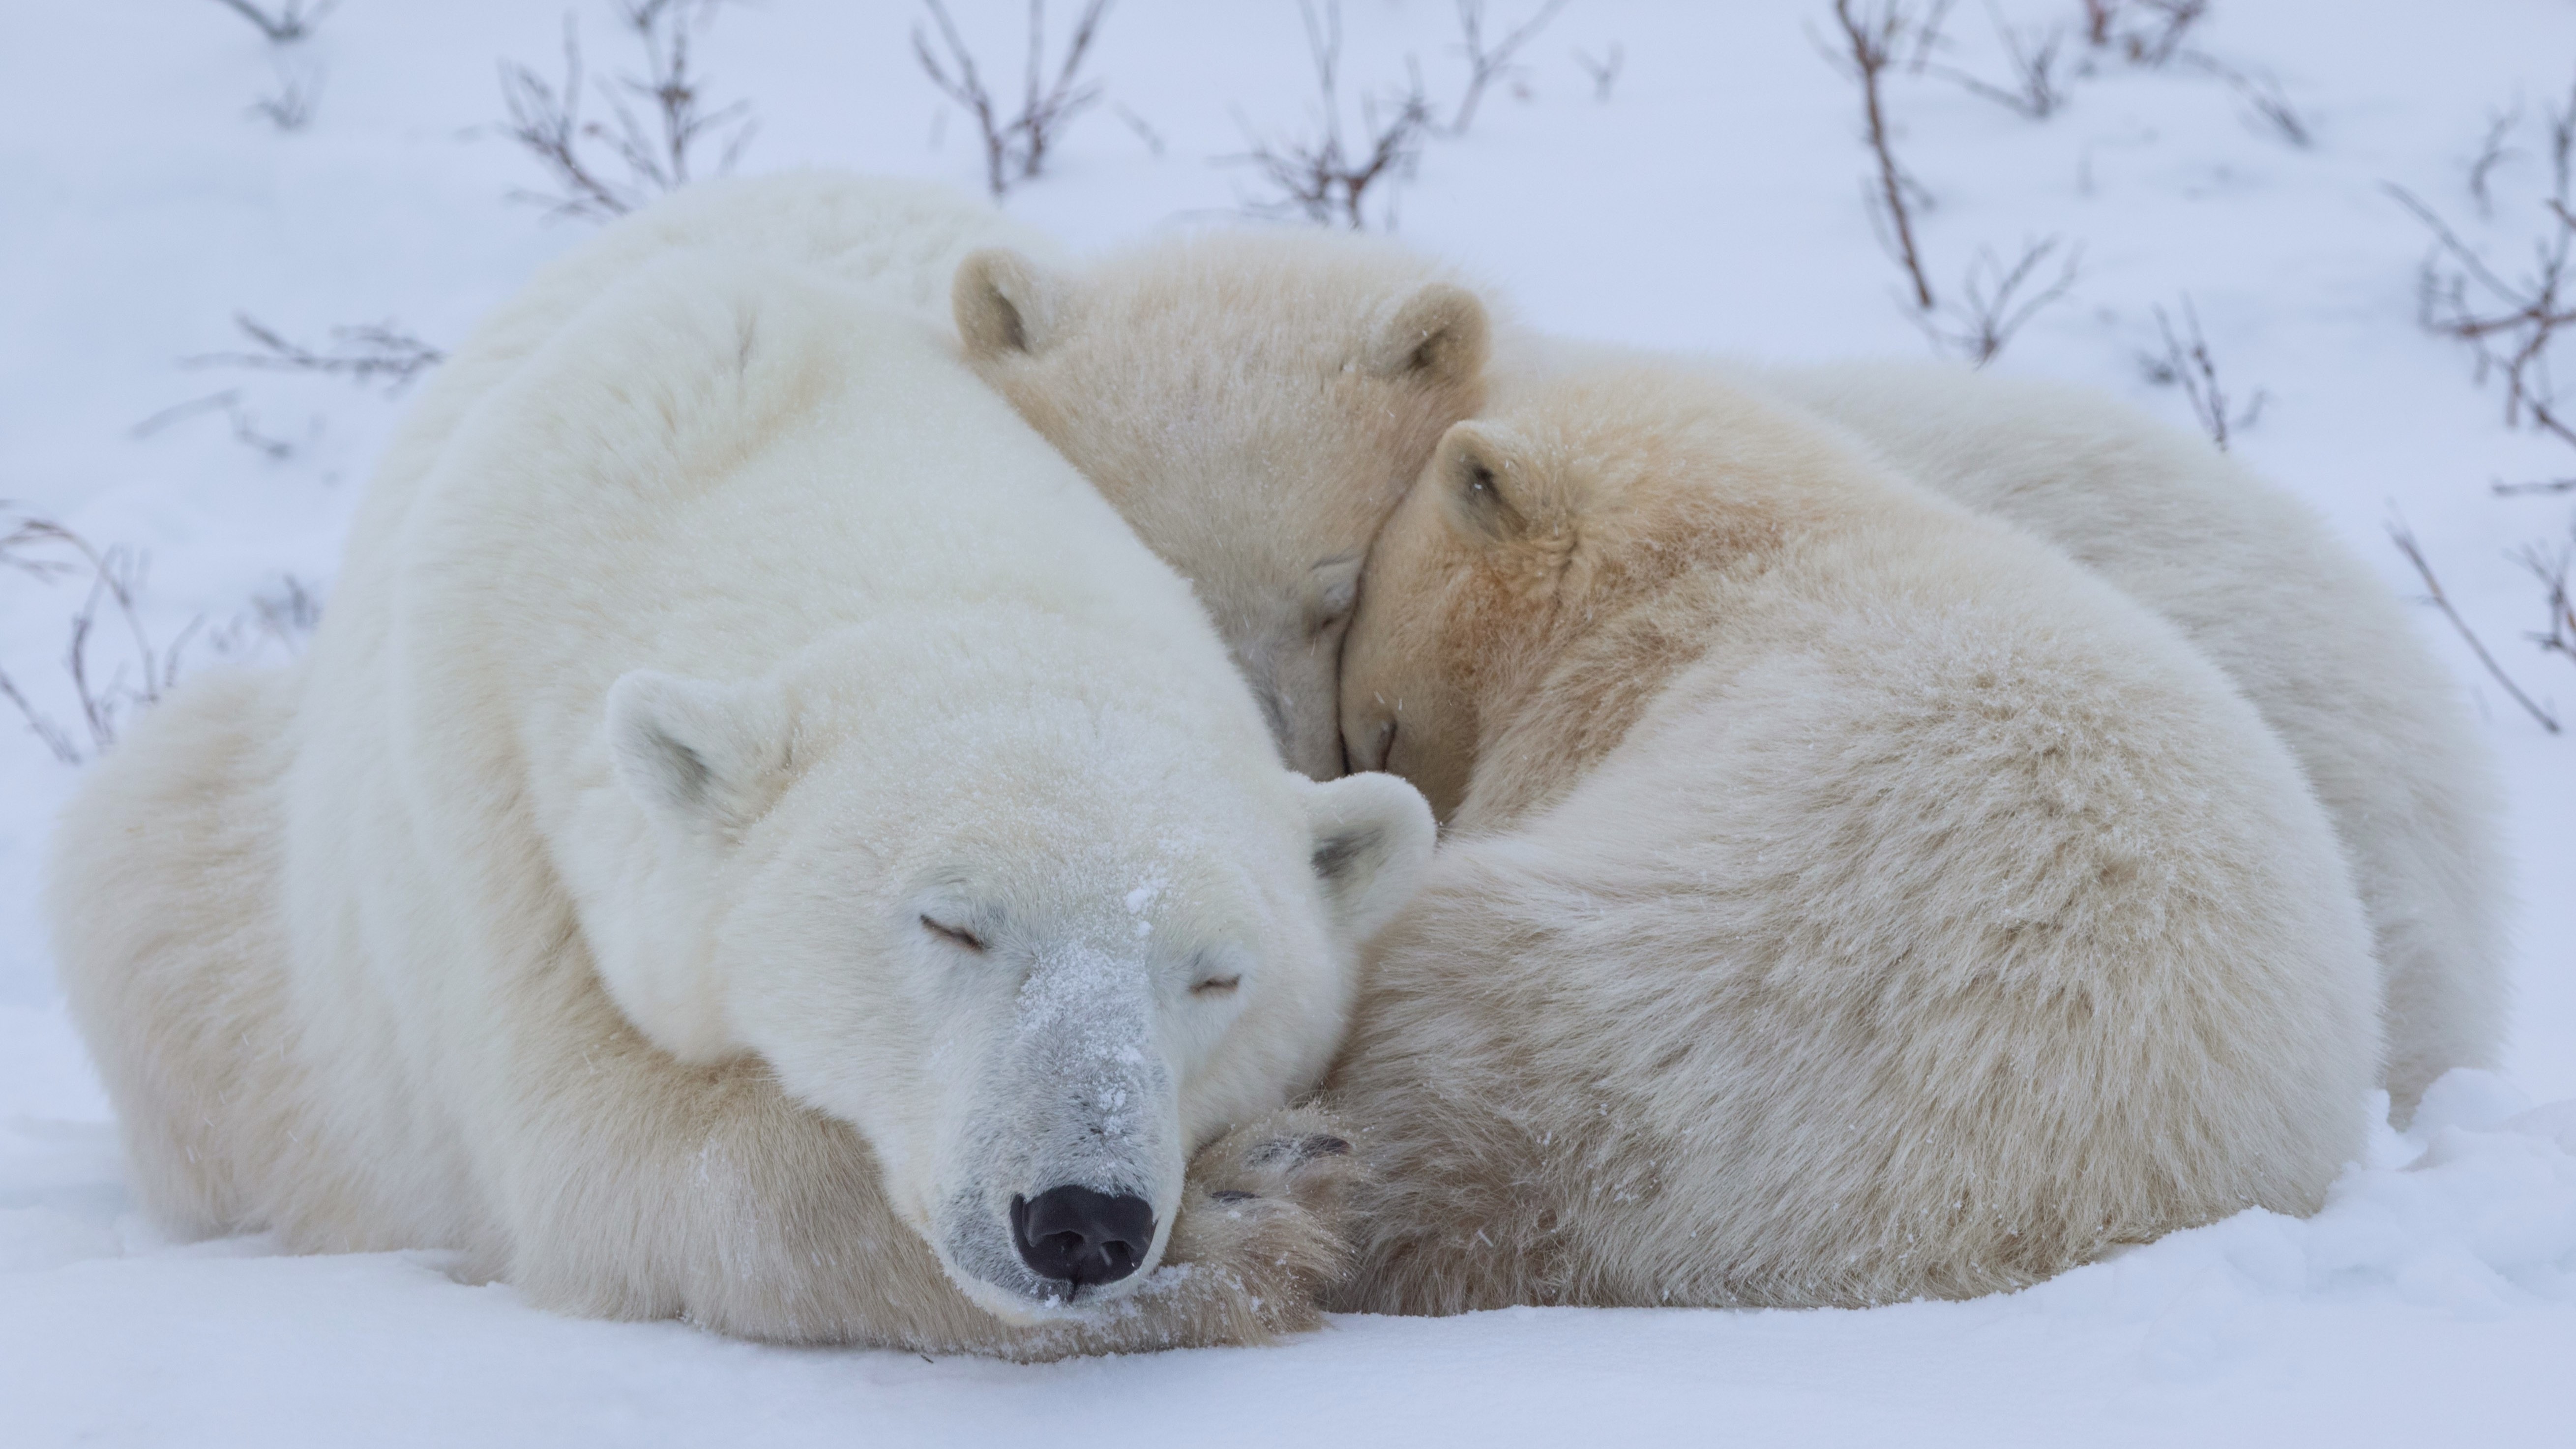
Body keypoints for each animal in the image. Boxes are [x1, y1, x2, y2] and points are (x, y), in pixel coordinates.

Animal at [45, 252, 1432, 1359]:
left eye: (1215, 975)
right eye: (952, 924)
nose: (1082, 1221)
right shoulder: (498, 817)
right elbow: (610, 1165)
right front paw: (1260, 1208)